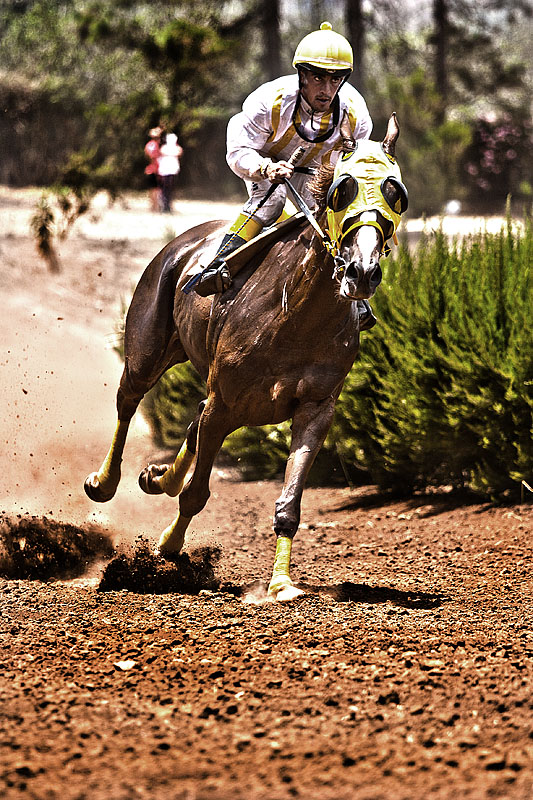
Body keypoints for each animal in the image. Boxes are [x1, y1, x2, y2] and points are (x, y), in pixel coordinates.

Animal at [84, 114, 407, 601]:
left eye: (394, 191)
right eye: (344, 189)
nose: (362, 270)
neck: (294, 315)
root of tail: (184, 242)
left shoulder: (315, 408)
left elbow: (289, 503)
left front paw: (282, 583)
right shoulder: (226, 402)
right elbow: (196, 492)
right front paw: (169, 547)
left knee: (191, 420)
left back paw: (158, 477)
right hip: (148, 346)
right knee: (129, 399)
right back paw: (105, 482)